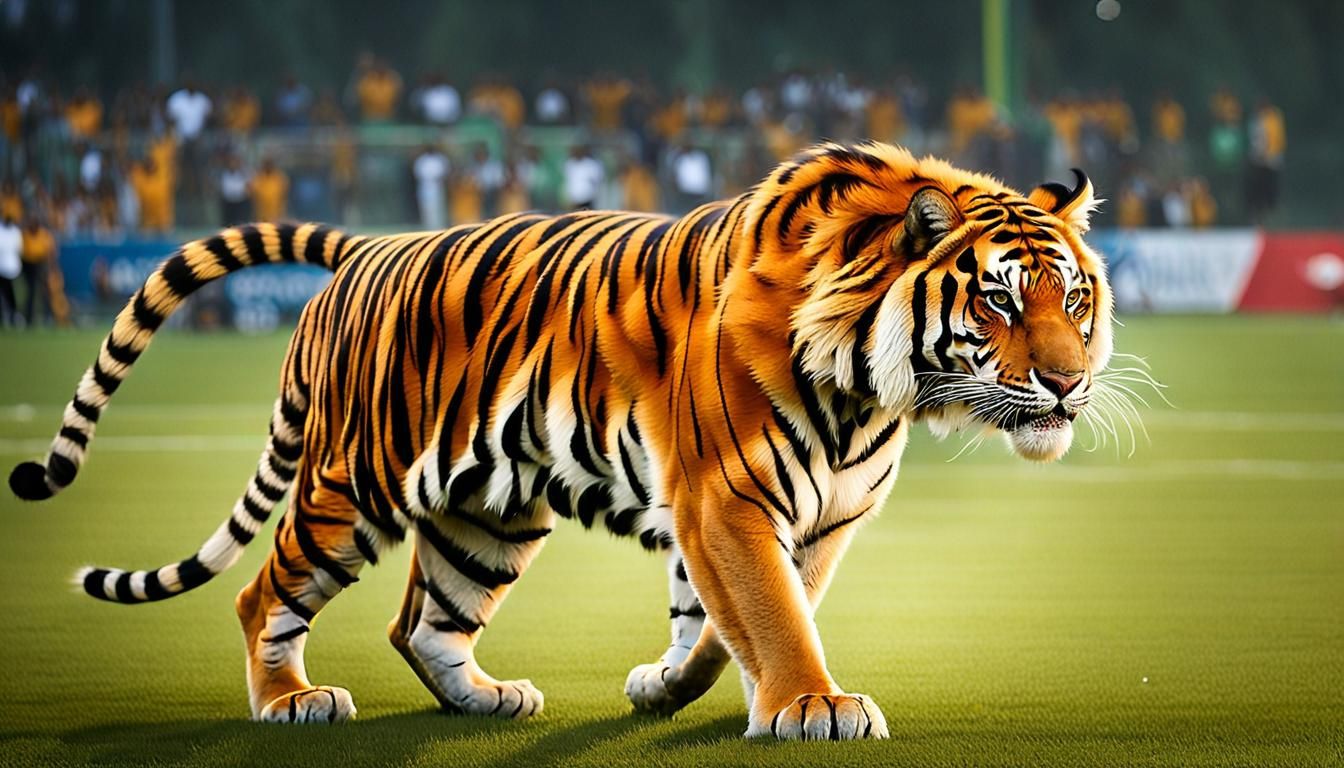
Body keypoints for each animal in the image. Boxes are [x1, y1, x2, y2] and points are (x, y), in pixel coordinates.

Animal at [8, 141, 1111, 740]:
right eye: (999, 300)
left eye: (1074, 299)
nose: (1069, 380)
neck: (874, 391)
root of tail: (368, 245)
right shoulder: (729, 498)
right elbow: (775, 614)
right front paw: (811, 706)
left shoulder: (822, 518)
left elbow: (735, 619)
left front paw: (684, 687)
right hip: (351, 484)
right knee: (261, 591)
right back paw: (290, 701)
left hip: (485, 517)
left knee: (424, 621)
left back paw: (485, 698)